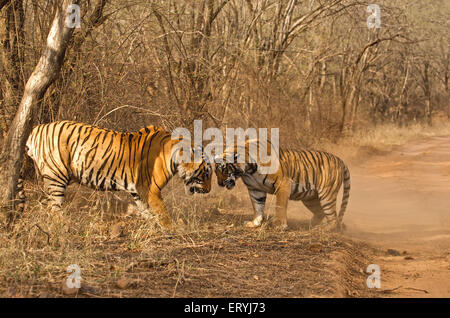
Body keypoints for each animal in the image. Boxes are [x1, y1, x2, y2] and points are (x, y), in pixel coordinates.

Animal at [25, 121, 212, 229]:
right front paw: (172, 230)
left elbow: (146, 211)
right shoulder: (151, 190)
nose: (209, 190)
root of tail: (36, 129)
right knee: (53, 208)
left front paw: (152, 225)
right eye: (206, 173)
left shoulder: (139, 191)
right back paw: (64, 225)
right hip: (56, 176)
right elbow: (162, 213)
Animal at [214, 139, 352, 231]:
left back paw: (324, 229)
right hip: (310, 199)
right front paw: (254, 223)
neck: (248, 171)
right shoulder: (255, 189)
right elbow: (257, 207)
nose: (219, 184)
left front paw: (279, 225)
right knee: (320, 212)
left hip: (326, 195)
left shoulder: (282, 184)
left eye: (223, 170)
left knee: (333, 218)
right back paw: (311, 225)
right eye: (216, 172)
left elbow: (280, 205)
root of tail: (340, 160)